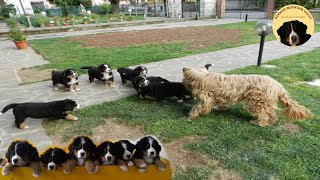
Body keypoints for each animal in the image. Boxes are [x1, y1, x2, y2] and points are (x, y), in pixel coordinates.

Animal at [182, 66, 312, 126]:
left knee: (264, 114)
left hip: (256, 101)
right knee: (271, 114)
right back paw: (270, 121)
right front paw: (221, 108)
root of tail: (278, 86)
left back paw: (259, 123)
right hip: (267, 103)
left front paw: (190, 116)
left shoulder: (206, 98)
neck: (202, 77)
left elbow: (198, 107)